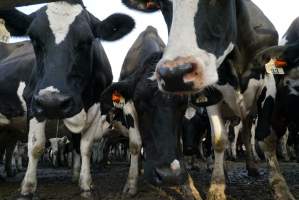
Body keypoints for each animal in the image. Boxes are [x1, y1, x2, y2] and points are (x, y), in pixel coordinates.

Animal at [0, 0, 135, 197]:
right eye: (34, 39)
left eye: (87, 40)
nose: (53, 103)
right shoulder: (34, 100)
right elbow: (36, 145)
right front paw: (28, 186)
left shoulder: (96, 106)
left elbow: (84, 146)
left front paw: (84, 181)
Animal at [101, 26, 202, 198]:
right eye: (140, 101)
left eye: (183, 104)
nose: (169, 176)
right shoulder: (128, 104)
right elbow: (135, 144)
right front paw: (131, 185)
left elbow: (180, 144)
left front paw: (189, 186)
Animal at [121, 0, 296, 200]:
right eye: (163, 6)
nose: (174, 74)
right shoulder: (212, 95)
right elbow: (218, 140)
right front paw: (217, 186)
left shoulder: (269, 82)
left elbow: (265, 138)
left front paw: (280, 186)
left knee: (246, 133)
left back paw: (252, 167)